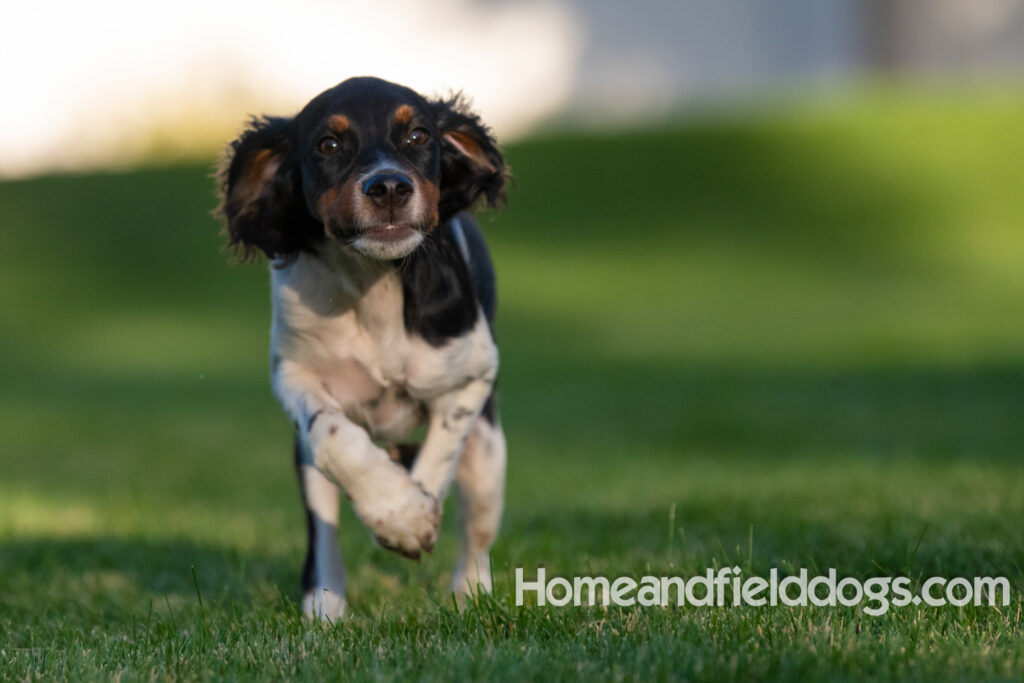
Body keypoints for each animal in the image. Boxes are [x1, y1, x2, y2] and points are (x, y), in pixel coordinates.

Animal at [218, 77, 505, 622]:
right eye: (329, 145)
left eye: (418, 135)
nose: (389, 187)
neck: (374, 283)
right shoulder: (293, 371)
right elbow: (334, 436)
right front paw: (396, 510)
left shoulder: (473, 372)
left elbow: (438, 456)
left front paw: (408, 519)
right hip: (308, 467)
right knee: (323, 529)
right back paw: (324, 611)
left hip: (488, 453)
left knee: (476, 532)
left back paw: (470, 598)